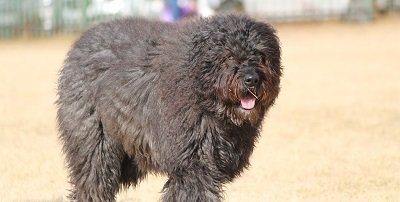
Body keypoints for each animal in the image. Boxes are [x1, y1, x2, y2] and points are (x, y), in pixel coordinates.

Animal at [57, 13, 282, 200]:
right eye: (228, 56)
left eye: (261, 56)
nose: (252, 79)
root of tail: (84, 39)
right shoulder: (193, 168)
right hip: (95, 146)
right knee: (92, 184)